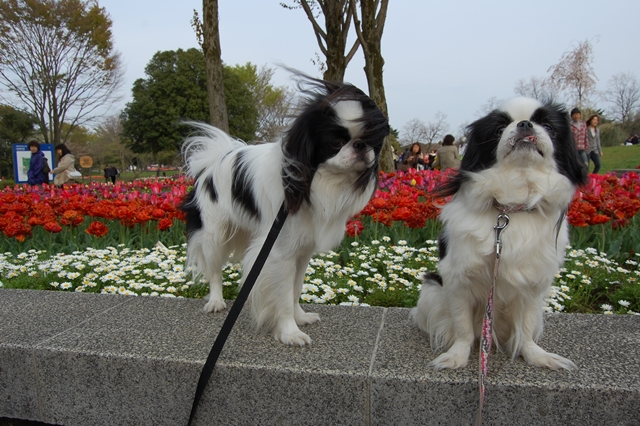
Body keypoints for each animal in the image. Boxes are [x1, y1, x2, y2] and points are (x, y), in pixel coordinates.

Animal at [412, 96, 588, 370]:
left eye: (549, 127)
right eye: (498, 129)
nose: (525, 124)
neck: (511, 208)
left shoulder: (533, 285)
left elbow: (526, 327)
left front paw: (535, 355)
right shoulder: (458, 279)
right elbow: (462, 326)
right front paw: (457, 356)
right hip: (431, 290)